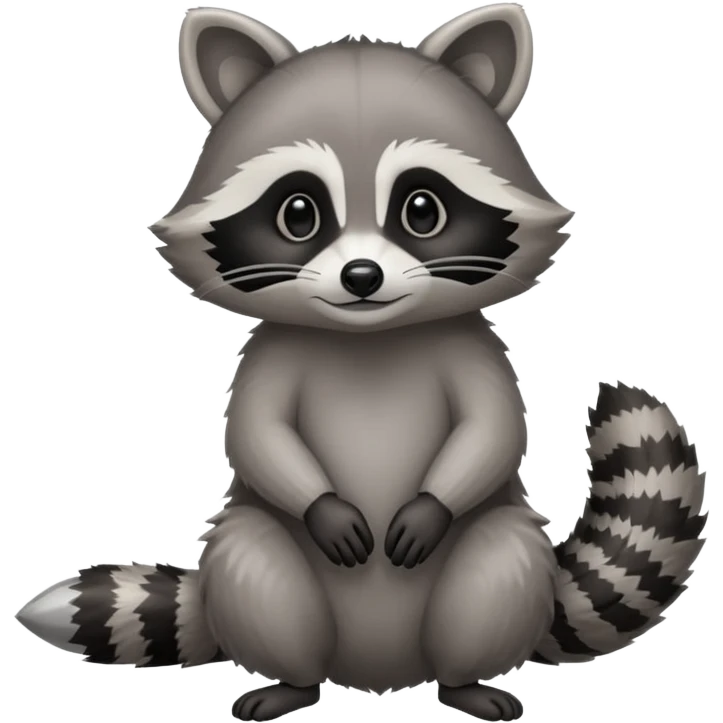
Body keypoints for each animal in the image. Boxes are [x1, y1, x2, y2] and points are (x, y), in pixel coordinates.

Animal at [15, 5, 708, 722]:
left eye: (422, 209)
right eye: (298, 213)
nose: (362, 276)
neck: (369, 337)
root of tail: (380, 670)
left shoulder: (471, 345)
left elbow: (494, 428)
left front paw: (431, 504)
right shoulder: (273, 350)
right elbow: (256, 432)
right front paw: (324, 506)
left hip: (493, 567)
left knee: (495, 568)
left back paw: (463, 680)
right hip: (265, 571)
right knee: (257, 569)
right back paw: (292, 681)